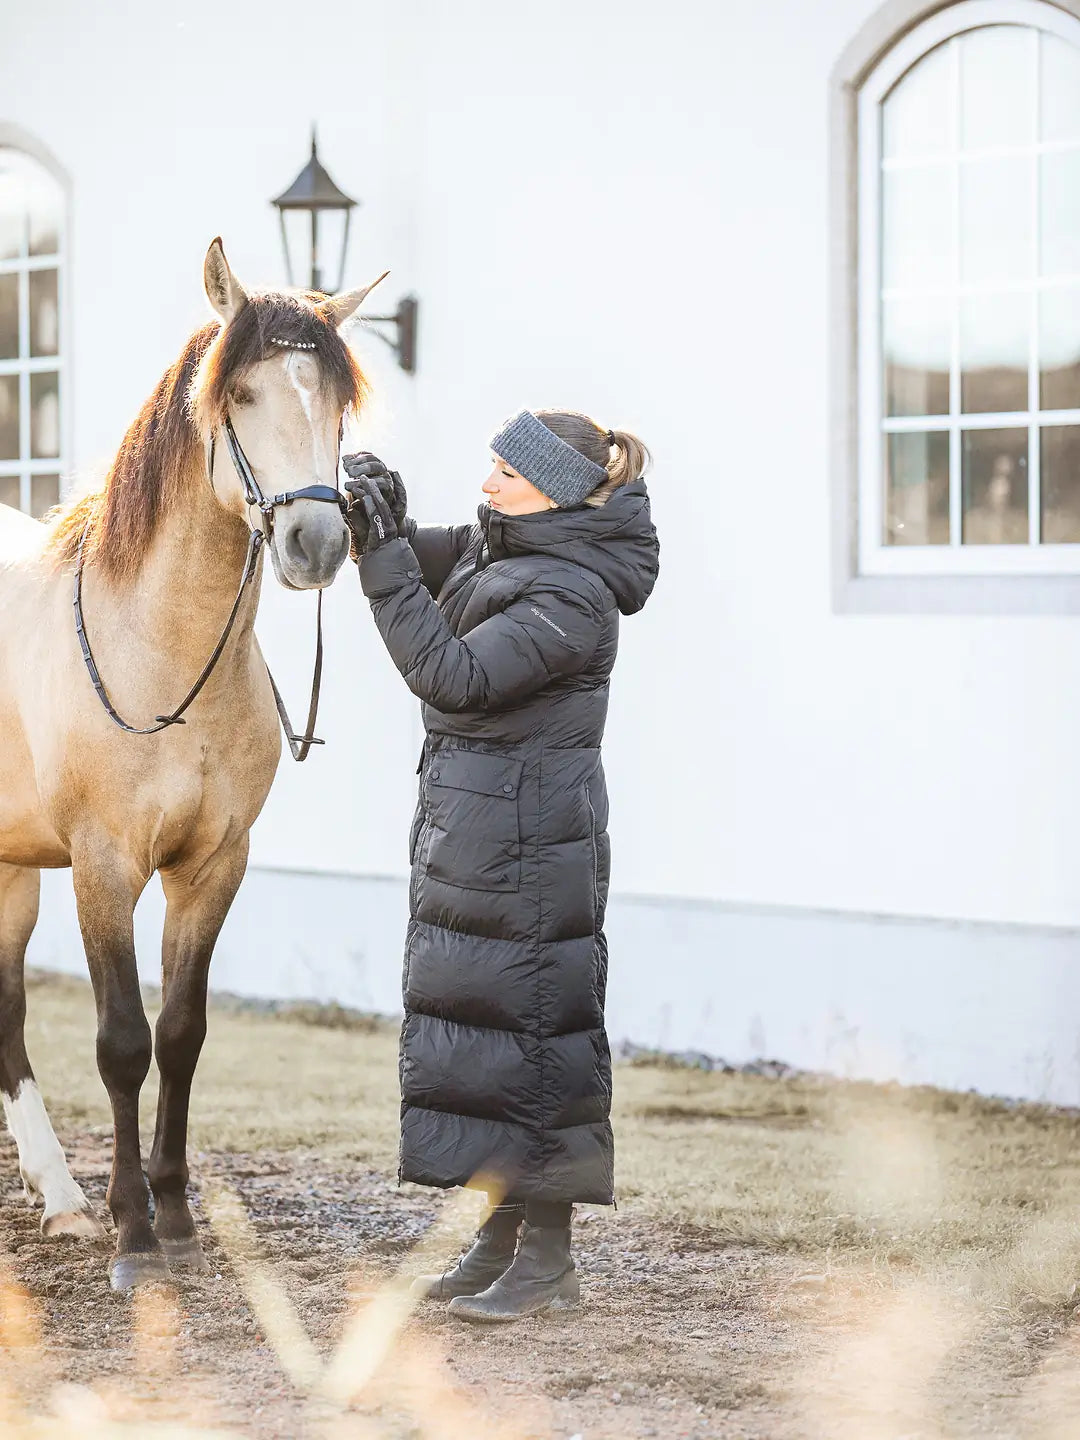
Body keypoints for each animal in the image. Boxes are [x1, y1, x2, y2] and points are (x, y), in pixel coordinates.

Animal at [0, 238, 383, 1289]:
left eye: (338, 401)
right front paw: (133, 1234)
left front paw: (171, 1216)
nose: (315, 542)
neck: (156, 651)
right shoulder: (102, 868)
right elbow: (123, 1043)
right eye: (240, 393)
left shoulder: (212, 865)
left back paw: (60, 1199)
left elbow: (180, 1033)